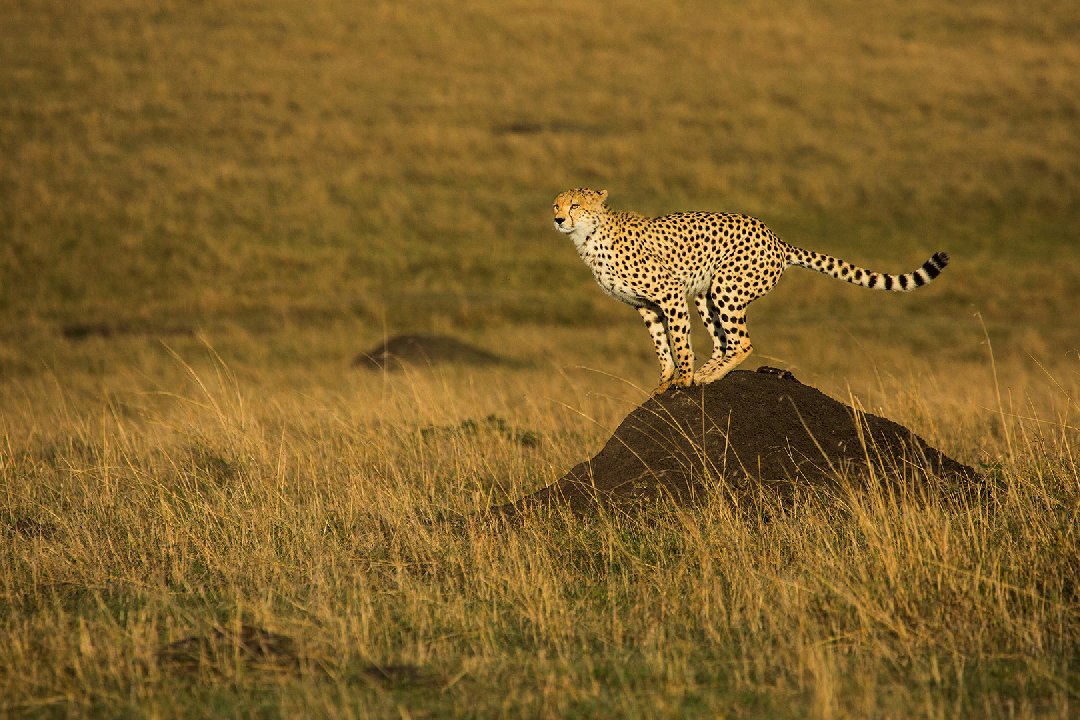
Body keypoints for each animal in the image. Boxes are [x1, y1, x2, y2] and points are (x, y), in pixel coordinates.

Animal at [552, 188, 950, 393]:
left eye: (576, 205)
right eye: (557, 204)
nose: (557, 218)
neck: (590, 237)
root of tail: (776, 238)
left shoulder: (670, 293)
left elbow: (679, 342)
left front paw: (683, 378)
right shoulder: (647, 306)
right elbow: (661, 345)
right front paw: (665, 381)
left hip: (726, 285)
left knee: (742, 342)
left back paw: (708, 375)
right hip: (707, 292)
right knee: (722, 341)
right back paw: (711, 369)